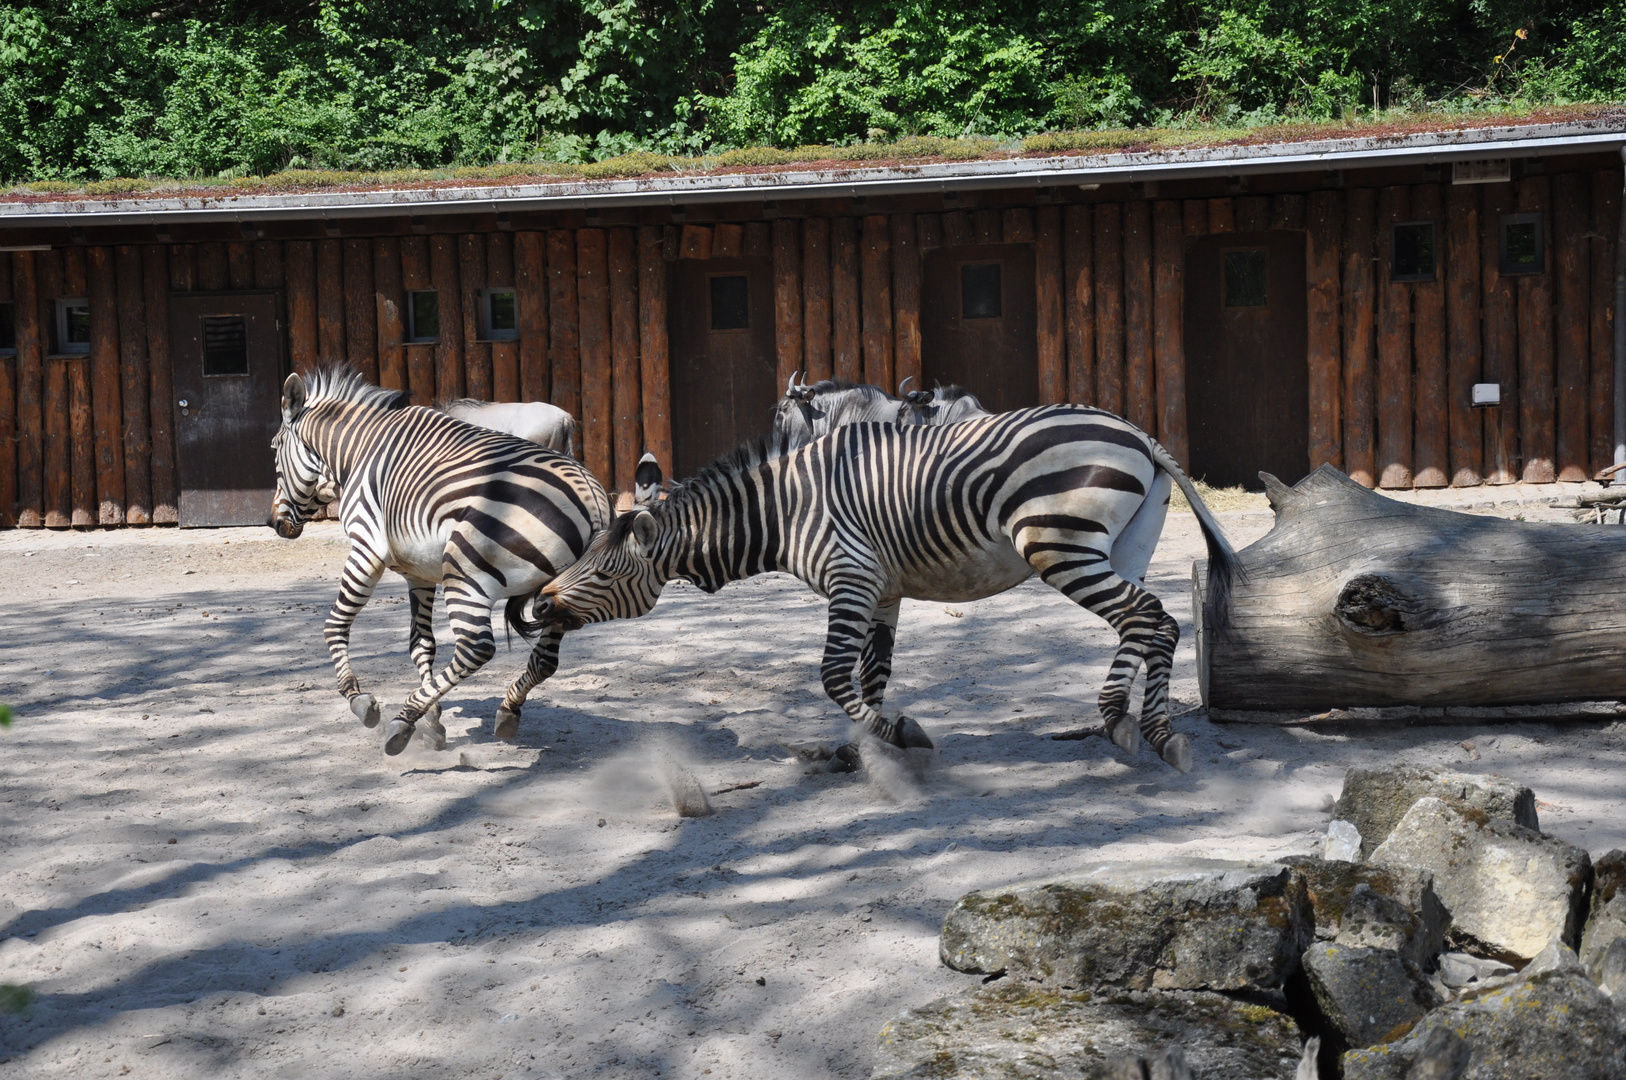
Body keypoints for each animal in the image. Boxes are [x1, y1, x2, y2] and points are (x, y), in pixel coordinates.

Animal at [273, 362, 614, 751]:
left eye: (274, 449)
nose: (275, 524)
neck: (359, 451)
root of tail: (593, 501)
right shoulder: (417, 572)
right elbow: (421, 644)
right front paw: (434, 720)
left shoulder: (366, 547)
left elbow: (335, 623)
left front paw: (359, 700)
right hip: (561, 593)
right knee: (544, 660)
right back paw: (505, 711)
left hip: (466, 571)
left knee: (475, 648)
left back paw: (403, 720)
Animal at [533, 403, 1229, 767]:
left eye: (602, 571)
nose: (541, 603)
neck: (783, 510)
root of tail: (1135, 431)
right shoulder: (882, 590)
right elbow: (872, 673)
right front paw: (861, 746)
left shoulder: (851, 576)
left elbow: (834, 674)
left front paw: (897, 735)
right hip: (1124, 545)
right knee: (1150, 621)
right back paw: (1134, 724)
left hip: (1060, 543)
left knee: (1148, 617)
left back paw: (1134, 724)